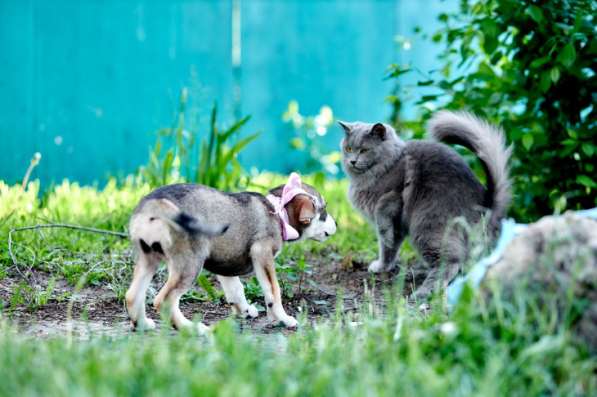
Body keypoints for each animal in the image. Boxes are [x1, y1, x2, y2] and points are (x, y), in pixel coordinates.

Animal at [125, 172, 336, 330]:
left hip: (148, 260)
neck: (278, 213)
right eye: (324, 211)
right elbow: (273, 292)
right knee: (164, 300)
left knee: (132, 295)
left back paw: (142, 324)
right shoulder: (262, 254)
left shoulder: (225, 264)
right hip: (190, 264)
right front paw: (283, 318)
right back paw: (191, 328)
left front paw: (245, 311)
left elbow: (236, 290)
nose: (337, 224)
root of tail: (153, 205)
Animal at [338, 109, 510, 296]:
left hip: (427, 226)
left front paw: (385, 242)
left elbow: (383, 229)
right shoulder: (398, 225)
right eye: (348, 148)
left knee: (449, 263)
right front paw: (382, 266)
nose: (352, 161)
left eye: (364, 150)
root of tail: (487, 203)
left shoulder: (392, 198)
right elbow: (388, 249)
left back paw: (423, 292)